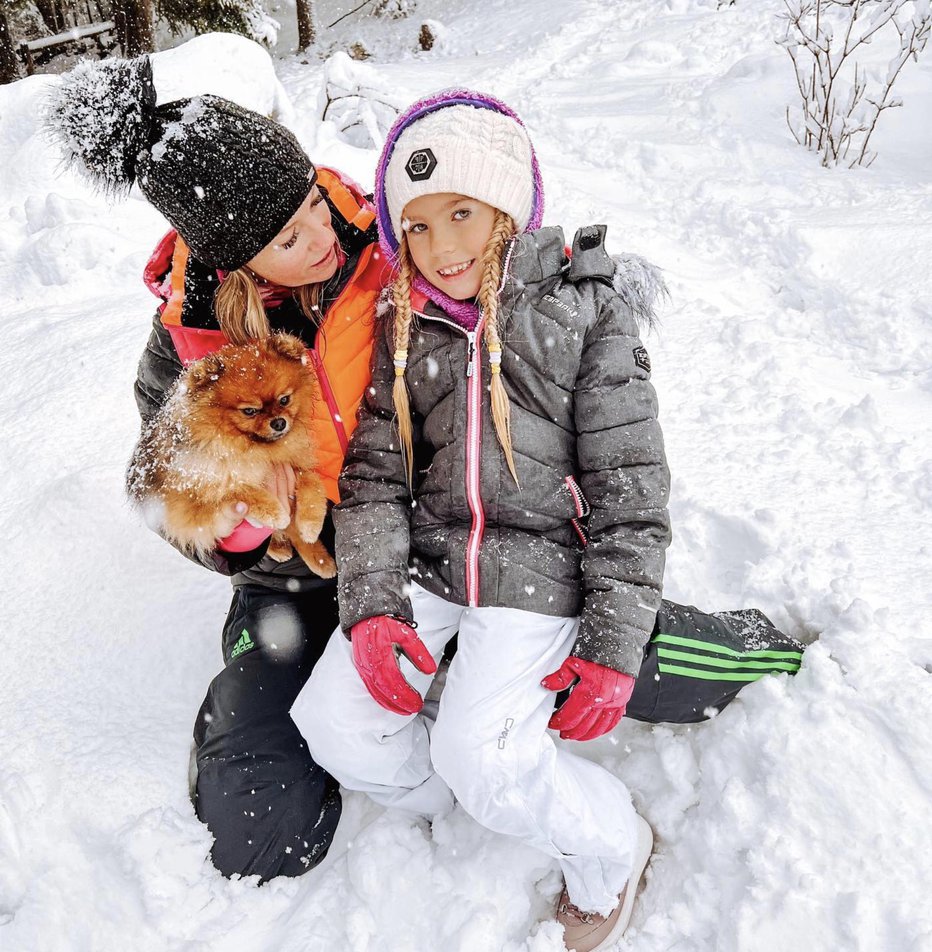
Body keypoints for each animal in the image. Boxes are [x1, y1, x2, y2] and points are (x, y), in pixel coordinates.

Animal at [127, 330, 334, 576]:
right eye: (250, 411)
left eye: (285, 399)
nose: (279, 422)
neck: (251, 448)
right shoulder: (195, 492)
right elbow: (237, 490)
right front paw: (273, 510)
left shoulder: (294, 464)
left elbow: (311, 483)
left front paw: (311, 524)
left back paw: (320, 561)